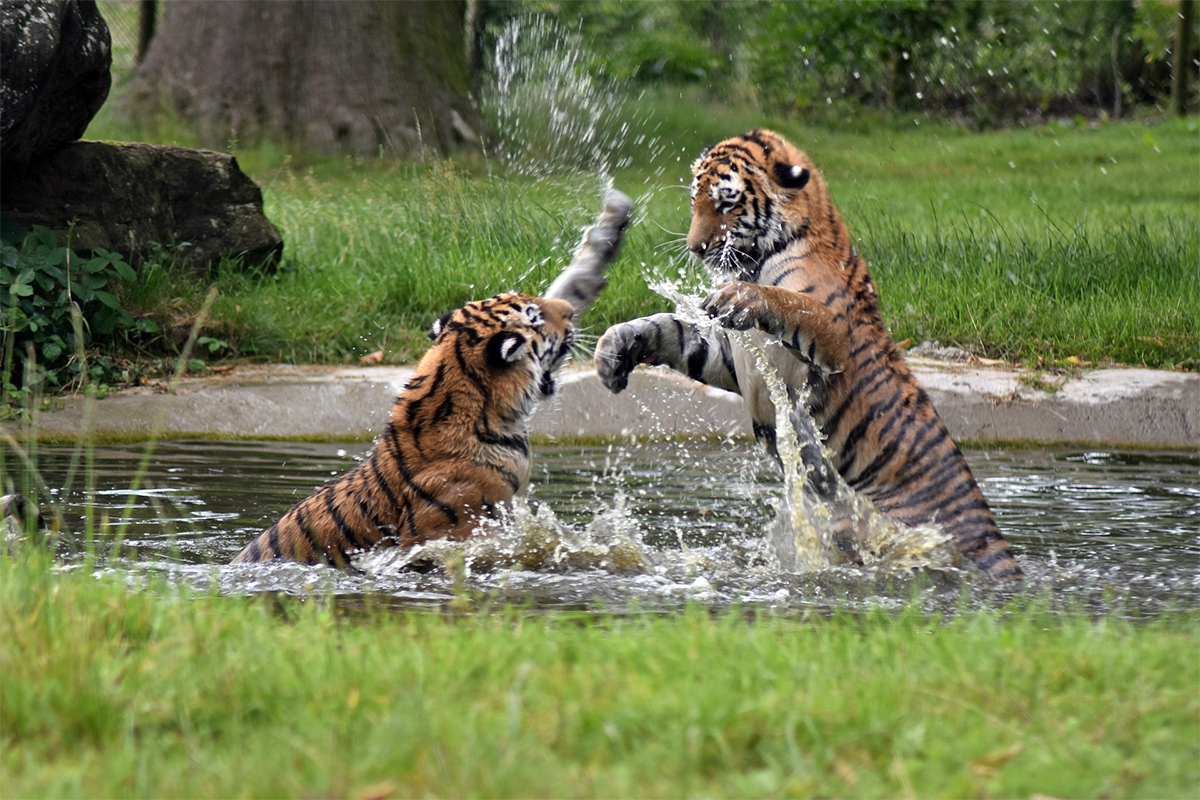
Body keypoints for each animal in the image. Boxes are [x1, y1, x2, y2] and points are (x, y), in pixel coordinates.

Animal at [592, 131, 1022, 582]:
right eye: (696, 201)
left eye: (726, 203)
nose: (696, 248)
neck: (759, 260)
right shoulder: (724, 355)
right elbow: (666, 328)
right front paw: (614, 349)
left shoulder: (832, 337)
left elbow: (790, 303)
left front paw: (741, 297)